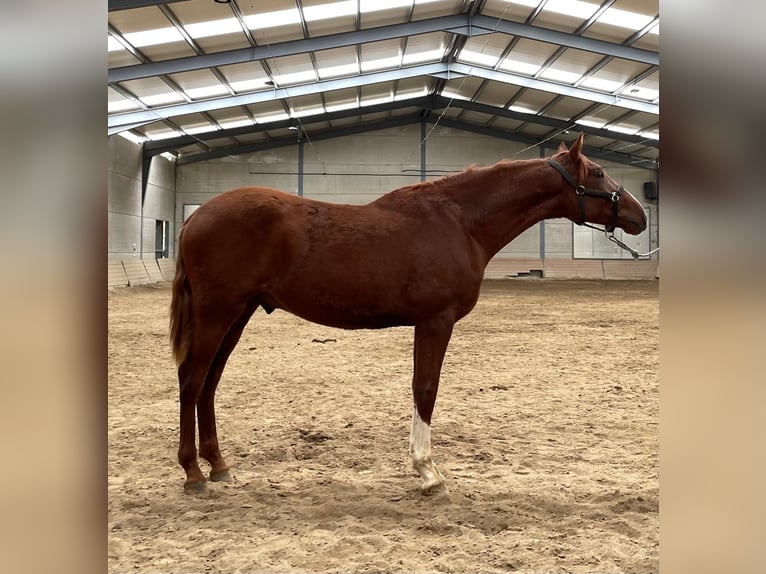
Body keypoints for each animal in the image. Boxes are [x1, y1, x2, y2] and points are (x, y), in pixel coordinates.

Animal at [170, 133, 647, 495]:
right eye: (599, 173)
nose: (640, 216)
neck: (460, 222)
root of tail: (195, 218)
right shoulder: (436, 320)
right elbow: (425, 390)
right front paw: (428, 472)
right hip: (218, 312)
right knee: (193, 380)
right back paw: (194, 473)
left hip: (239, 313)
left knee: (210, 381)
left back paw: (219, 465)